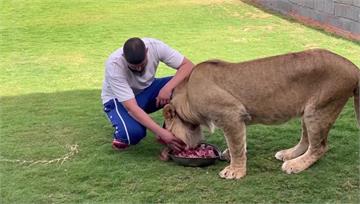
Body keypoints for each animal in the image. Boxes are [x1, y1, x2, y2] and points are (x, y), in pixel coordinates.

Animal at [164, 48, 360, 179]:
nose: (166, 153)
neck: (187, 95)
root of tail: (353, 67)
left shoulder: (231, 114)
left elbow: (236, 145)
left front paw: (234, 171)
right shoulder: (238, 118)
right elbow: (240, 142)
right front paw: (230, 156)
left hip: (320, 110)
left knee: (319, 147)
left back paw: (295, 165)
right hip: (308, 111)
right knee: (307, 141)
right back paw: (288, 155)